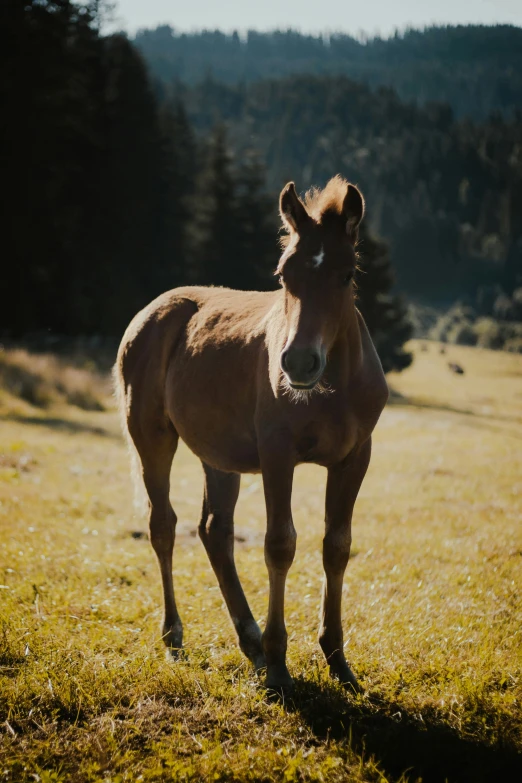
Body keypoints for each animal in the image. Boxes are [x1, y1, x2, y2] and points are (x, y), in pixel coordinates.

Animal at [116, 175, 388, 688]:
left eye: (346, 274)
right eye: (283, 274)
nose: (297, 363)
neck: (332, 386)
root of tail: (151, 310)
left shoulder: (355, 457)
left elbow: (337, 546)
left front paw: (336, 658)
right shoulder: (277, 454)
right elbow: (280, 545)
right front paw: (280, 664)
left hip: (218, 455)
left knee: (214, 530)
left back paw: (250, 640)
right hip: (151, 439)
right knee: (163, 525)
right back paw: (176, 634)